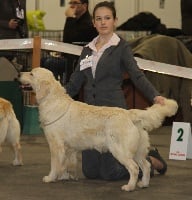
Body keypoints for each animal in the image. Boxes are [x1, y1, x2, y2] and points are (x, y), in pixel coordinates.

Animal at [18, 68, 178, 191]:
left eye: (31, 73)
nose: (19, 74)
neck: (52, 100)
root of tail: (129, 113)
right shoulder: (68, 148)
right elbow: (65, 164)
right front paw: (64, 176)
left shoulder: (56, 145)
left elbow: (55, 164)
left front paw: (50, 177)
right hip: (138, 150)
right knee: (146, 165)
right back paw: (143, 184)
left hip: (120, 150)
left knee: (134, 168)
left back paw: (129, 187)